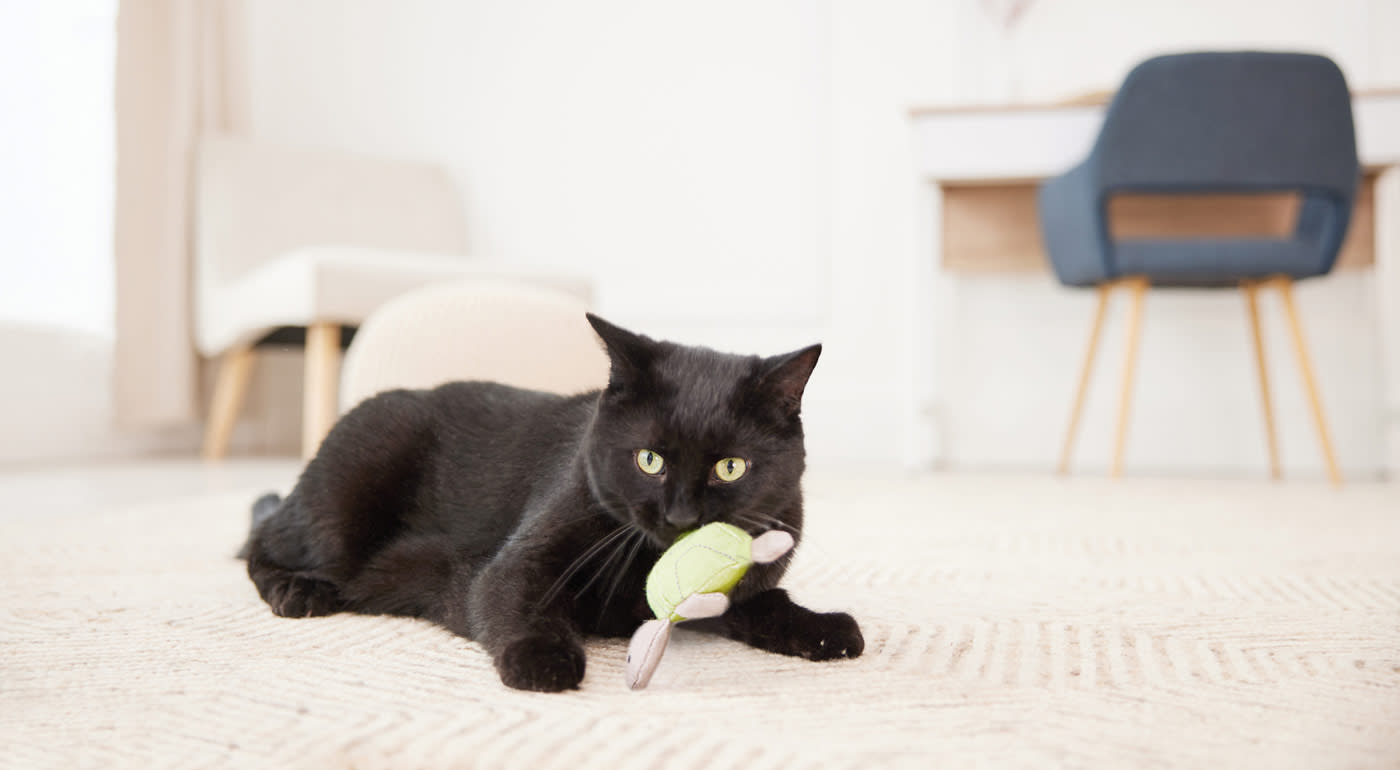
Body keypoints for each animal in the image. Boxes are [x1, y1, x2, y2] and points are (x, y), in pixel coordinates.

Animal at [243, 315, 862, 694]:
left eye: (731, 467)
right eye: (649, 460)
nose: (682, 517)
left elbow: (768, 604)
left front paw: (826, 628)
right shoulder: (519, 560)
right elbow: (524, 601)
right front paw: (542, 659)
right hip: (343, 508)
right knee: (261, 540)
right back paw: (298, 590)